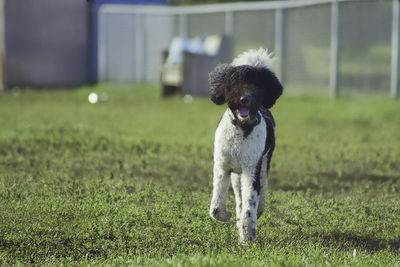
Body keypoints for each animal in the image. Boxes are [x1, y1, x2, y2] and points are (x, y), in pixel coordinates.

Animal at [208, 48, 282, 245]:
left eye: (257, 84)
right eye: (234, 82)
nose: (245, 99)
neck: (241, 130)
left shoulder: (252, 170)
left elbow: (250, 205)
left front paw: (247, 236)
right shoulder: (222, 167)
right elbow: (216, 206)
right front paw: (225, 216)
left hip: (263, 165)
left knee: (261, 191)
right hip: (236, 176)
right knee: (240, 199)